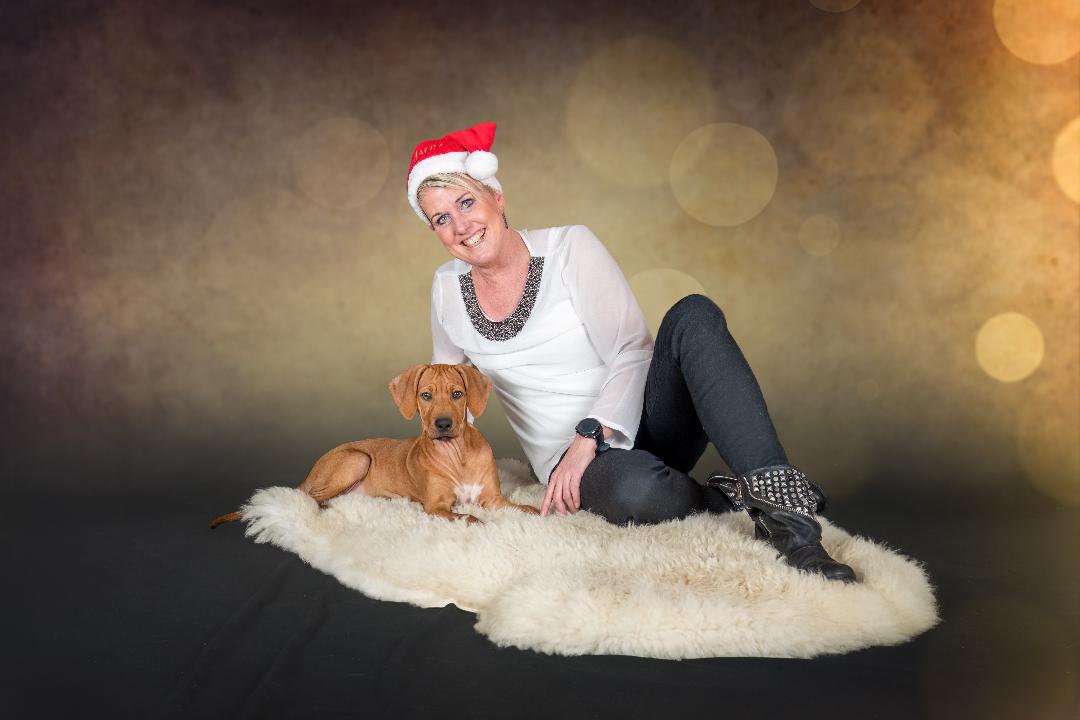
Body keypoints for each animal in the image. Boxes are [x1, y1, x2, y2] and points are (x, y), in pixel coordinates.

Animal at [210, 363, 538, 529]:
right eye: (426, 395)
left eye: (458, 394)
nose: (443, 424)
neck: (457, 454)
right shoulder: (436, 507)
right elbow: (468, 517)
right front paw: (481, 524)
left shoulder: (492, 498)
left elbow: (523, 508)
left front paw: (538, 513)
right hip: (357, 459)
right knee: (309, 497)